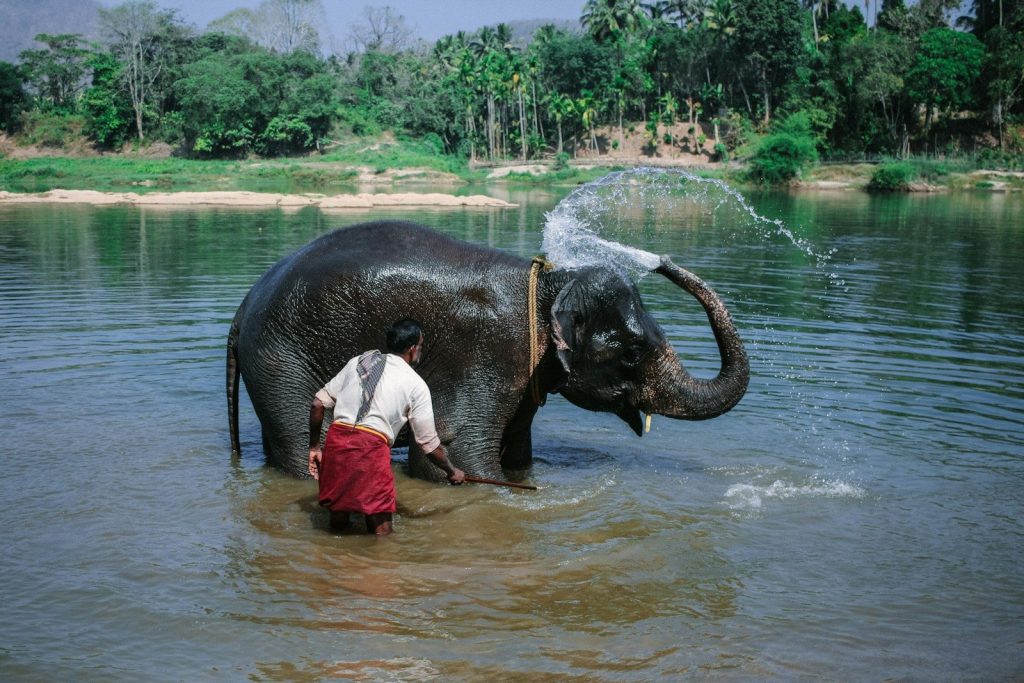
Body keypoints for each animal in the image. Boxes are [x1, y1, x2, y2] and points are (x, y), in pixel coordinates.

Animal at [227, 220, 748, 481]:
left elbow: (518, 452)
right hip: (281, 359)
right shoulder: (485, 354)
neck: (548, 286)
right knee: (301, 440)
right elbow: (456, 450)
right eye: (633, 353)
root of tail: (241, 310)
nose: (661, 260)